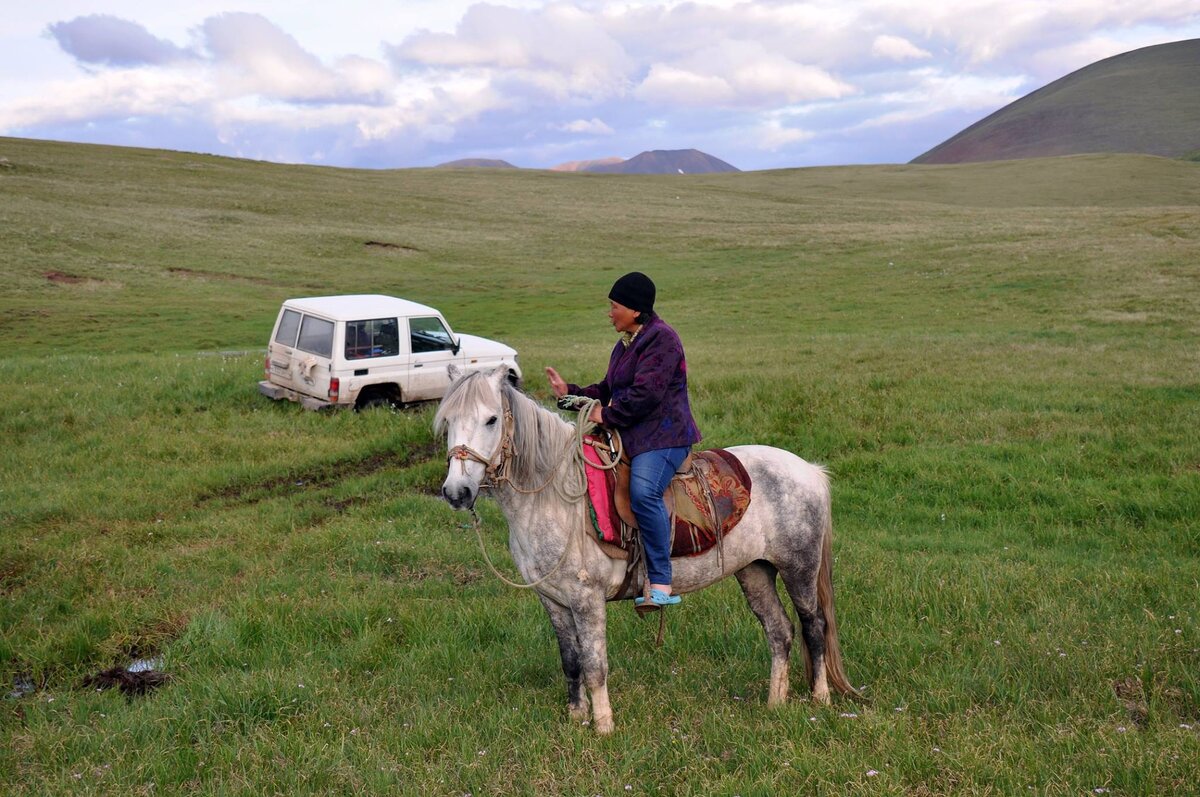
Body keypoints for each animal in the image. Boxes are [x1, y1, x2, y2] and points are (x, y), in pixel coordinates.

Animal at [436, 367, 859, 734]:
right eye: (448, 421)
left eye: (492, 420)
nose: (456, 493)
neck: (554, 496)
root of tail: (810, 470)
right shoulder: (553, 600)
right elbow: (571, 661)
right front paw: (576, 717)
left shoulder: (587, 600)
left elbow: (594, 664)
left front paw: (604, 727)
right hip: (754, 570)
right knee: (779, 631)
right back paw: (775, 702)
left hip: (799, 568)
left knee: (813, 626)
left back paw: (820, 698)